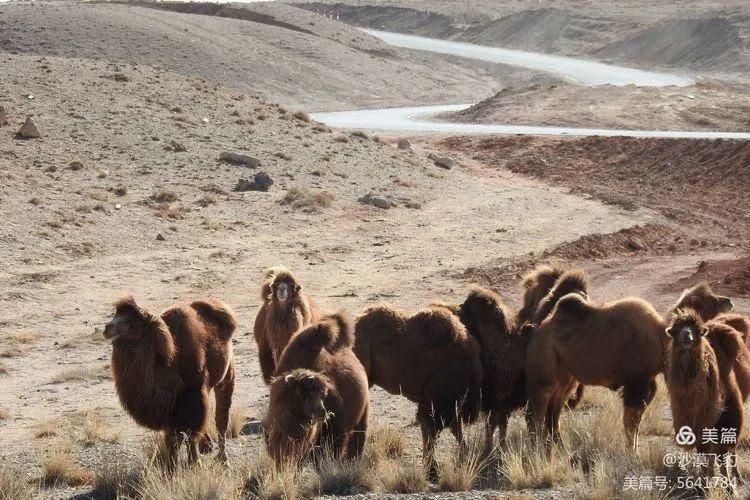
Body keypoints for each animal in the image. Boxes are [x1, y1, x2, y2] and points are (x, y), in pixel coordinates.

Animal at [104, 294, 236, 466]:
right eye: (115, 315)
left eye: (130, 322)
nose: (107, 328)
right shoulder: (171, 405)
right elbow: (173, 439)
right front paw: (171, 466)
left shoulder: (193, 394)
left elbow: (189, 435)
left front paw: (194, 463)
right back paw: (207, 447)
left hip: (226, 376)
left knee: (221, 418)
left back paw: (223, 459)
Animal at [268, 312, 370, 464]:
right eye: (302, 394)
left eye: (323, 395)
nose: (322, 411)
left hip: (363, 413)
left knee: (359, 434)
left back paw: (353, 459)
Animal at [524, 292, 668, 454]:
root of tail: (534, 331)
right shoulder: (636, 382)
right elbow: (631, 420)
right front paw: (632, 453)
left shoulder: (647, 382)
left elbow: (636, 419)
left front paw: (634, 451)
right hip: (544, 372)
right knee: (536, 414)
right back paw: (538, 451)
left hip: (565, 378)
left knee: (553, 414)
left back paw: (562, 450)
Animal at [668, 310, 748, 478]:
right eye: (677, 329)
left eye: (696, 330)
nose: (686, 334)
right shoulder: (697, 422)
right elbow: (705, 451)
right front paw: (706, 478)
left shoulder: (727, 416)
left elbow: (722, 453)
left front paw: (727, 482)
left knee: (729, 449)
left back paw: (736, 475)